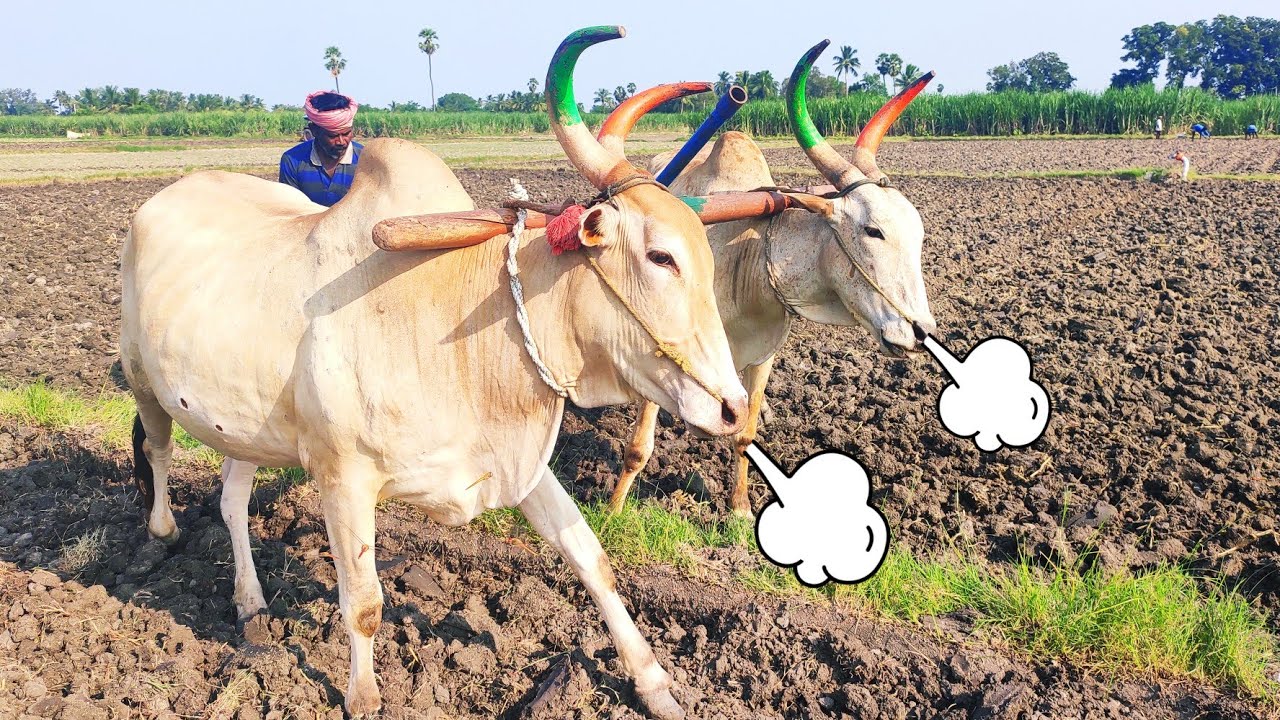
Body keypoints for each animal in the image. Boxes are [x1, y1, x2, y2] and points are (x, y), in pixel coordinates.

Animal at [120, 26, 751, 719]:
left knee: (232, 500)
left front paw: (655, 682)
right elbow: (364, 604)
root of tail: (162, 198)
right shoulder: (343, 476)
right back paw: (160, 533)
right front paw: (363, 696)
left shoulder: (518, 463)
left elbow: (590, 557)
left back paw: (252, 605)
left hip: (247, 424)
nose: (732, 407)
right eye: (661, 256)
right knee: (157, 449)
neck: (464, 319)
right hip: (141, 375)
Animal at [603, 39, 939, 516]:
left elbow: (745, 435)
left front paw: (740, 509)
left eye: (919, 235)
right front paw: (613, 509)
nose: (920, 332)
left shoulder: (763, 358)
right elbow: (637, 447)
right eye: (873, 230)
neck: (747, 256)